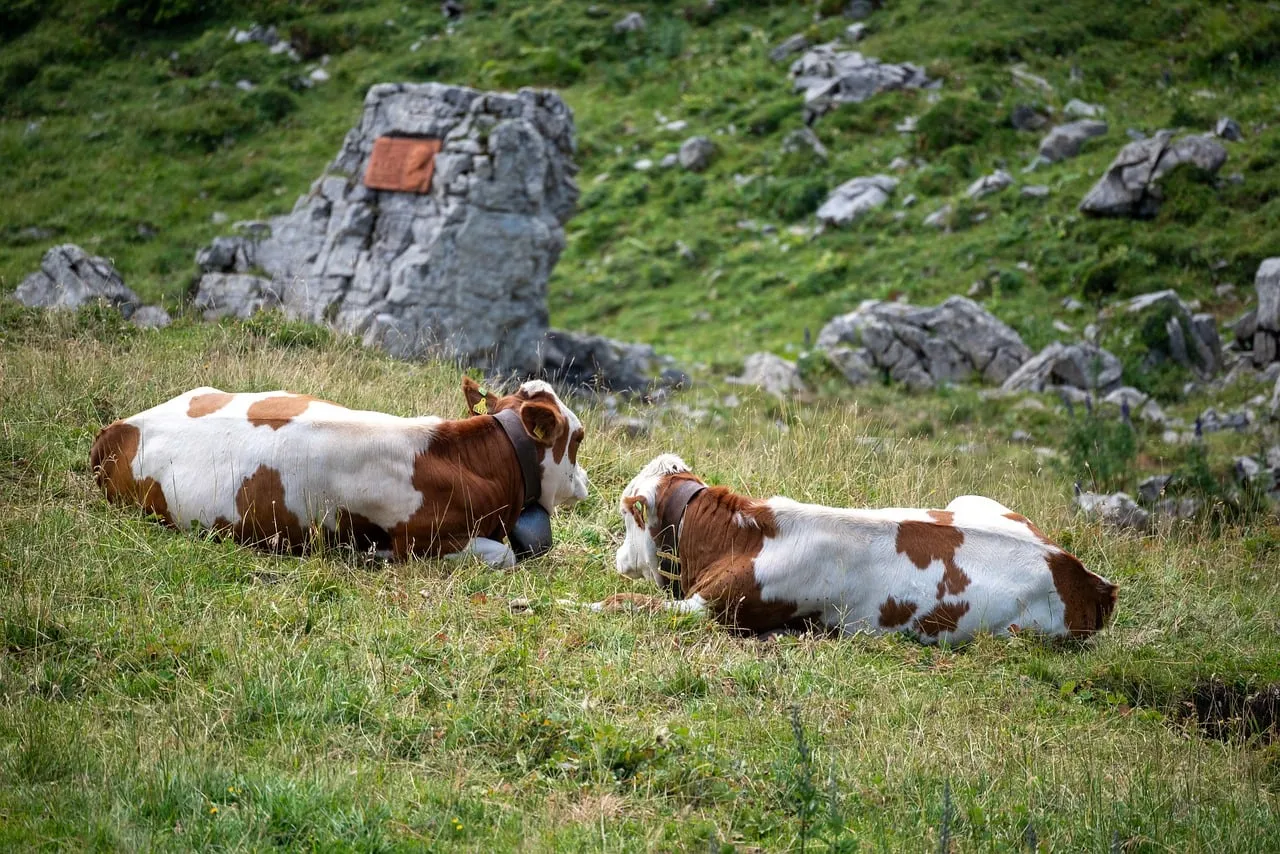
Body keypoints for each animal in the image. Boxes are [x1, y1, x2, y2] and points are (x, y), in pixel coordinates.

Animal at [600, 454, 1117, 643]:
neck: (745, 540)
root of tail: (1085, 576)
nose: (618, 558)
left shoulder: (713, 610)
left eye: (626, 515)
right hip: (969, 500)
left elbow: (627, 604)